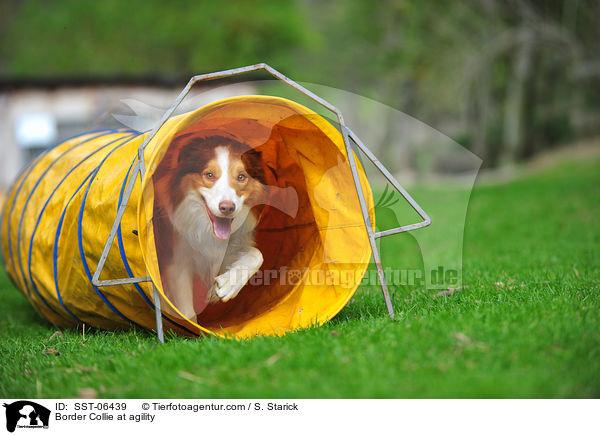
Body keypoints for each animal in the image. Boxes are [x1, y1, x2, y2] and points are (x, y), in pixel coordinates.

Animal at [154, 133, 266, 320]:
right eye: (210, 174)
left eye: (241, 177)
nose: (227, 208)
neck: (205, 227)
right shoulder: (176, 262)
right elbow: (187, 311)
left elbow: (257, 254)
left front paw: (227, 285)